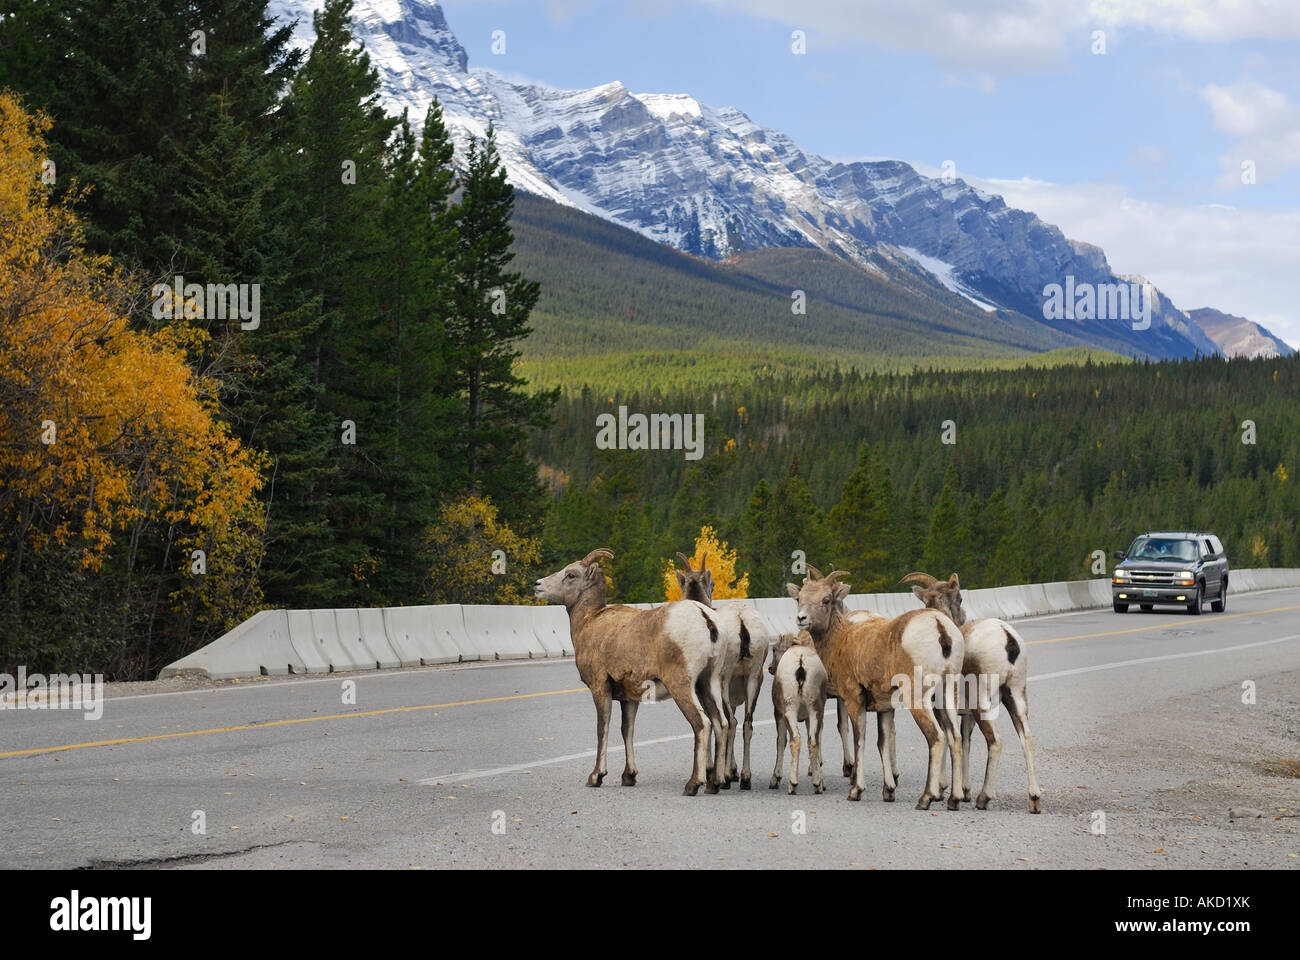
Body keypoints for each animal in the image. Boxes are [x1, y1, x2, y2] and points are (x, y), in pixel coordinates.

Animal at [530, 546, 728, 790]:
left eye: (571, 574)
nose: (538, 585)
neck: (588, 622)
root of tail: (706, 618)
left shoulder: (600, 687)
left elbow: (602, 728)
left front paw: (596, 777)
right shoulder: (629, 698)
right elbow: (628, 730)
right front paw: (629, 777)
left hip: (682, 686)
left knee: (702, 723)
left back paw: (693, 785)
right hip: (709, 683)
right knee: (721, 723)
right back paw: (715, 783)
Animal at [681, 548, 769, 790]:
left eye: (711, 583)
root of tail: (742, 622)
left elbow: (713, 722)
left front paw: (714, 770)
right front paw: (733, 770)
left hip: (724, 680)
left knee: (729, 722)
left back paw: (725, 779)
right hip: (754, 678)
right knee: (746, 723)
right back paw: (745, 778)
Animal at [764, 629, 826, 790]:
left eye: (774, 649)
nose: (771, 668)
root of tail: (801, 662)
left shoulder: (778, 714)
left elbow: (781, 741)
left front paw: (775, 779)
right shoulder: (809, 718)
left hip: (790, 710)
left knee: (795, 740)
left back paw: (792, 784)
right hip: (815, 710)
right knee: (813, 741)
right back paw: (817, 784)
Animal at [780, 564, 967, 806]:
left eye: (826, 599)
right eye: (799, 598)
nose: (802, 618)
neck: (841, 640)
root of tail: (940, 626)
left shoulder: (853, 699)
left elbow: (860, 740)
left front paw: (856, 791)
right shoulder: (885, 707)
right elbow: (883, 743)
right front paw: (889, 791)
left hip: (918, 698)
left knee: (937, 737)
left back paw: (926, 798)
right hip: (948, 691)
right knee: (954, 736)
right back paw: (954, 799)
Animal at [904, 572, 1045, 811]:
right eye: (960, 598)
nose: (963, 616)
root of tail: (1008, 638)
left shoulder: (942, 708)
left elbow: (948, 739)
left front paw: (942, 792)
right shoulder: (966, 715)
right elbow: (965, 742)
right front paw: (964, 792)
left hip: (983, 703)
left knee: (996, 741)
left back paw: (983, 798)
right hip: (1016, 696)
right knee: (1026, 737)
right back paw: (1034, 800)